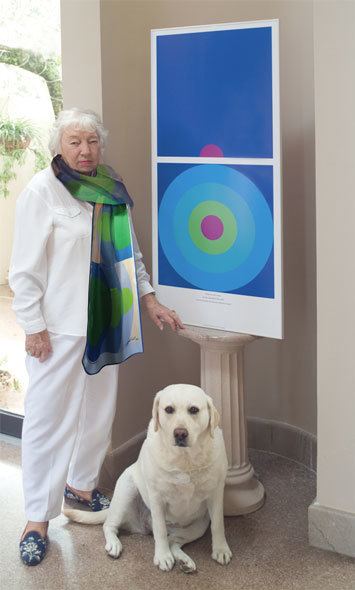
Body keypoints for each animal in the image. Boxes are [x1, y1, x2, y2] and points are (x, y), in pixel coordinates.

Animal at [63, 384, 232, 572]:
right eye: (169, 409)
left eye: (194, 409)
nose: (180, 433)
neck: (184, 460)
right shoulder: (157, 498)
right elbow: (159, 530)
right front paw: (162, 556)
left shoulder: (216, 494)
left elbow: (218, 525)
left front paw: (221, 549)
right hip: (126, 492)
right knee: (110, 526)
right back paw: (114, 544)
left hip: (198, 526)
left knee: (173, 541)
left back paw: (184, 561)